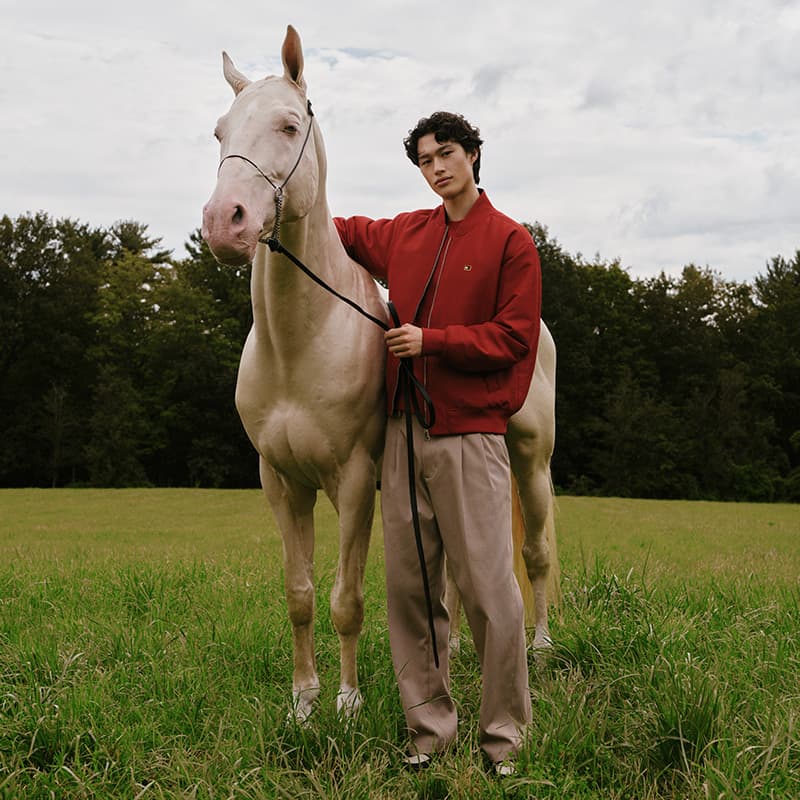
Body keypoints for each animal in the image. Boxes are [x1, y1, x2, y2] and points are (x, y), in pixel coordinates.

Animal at [201, 25, 559, 723]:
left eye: (288, 125)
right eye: (221, 131)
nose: (223, 221)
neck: (300, 345)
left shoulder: (353, 481)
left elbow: (347, 599)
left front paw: (347, 702)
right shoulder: (281, 483)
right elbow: (300, 594)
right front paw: (304, 700)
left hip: (530, 462)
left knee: (534, 552)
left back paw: (541, 648)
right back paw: (464, 655)